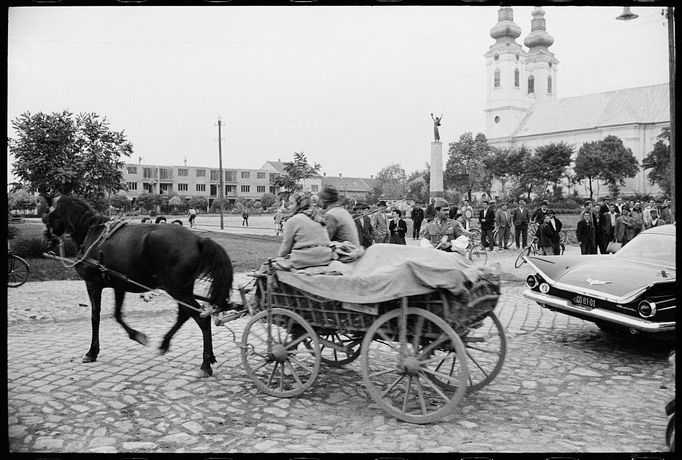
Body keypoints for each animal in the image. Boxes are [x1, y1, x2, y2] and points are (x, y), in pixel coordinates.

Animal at [43, 195, 234, 378]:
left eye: (48, 217)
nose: (46, 241)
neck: (92, 233)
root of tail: (198, 240)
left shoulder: (93, 284)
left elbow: (95, 316)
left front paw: (92, 352)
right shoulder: (119, 284)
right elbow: (117, 314)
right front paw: (136, 335)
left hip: (177, 289)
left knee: (201, 318)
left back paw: (205, 363)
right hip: (181, 289)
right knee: (184, 314)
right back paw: (166, 343)